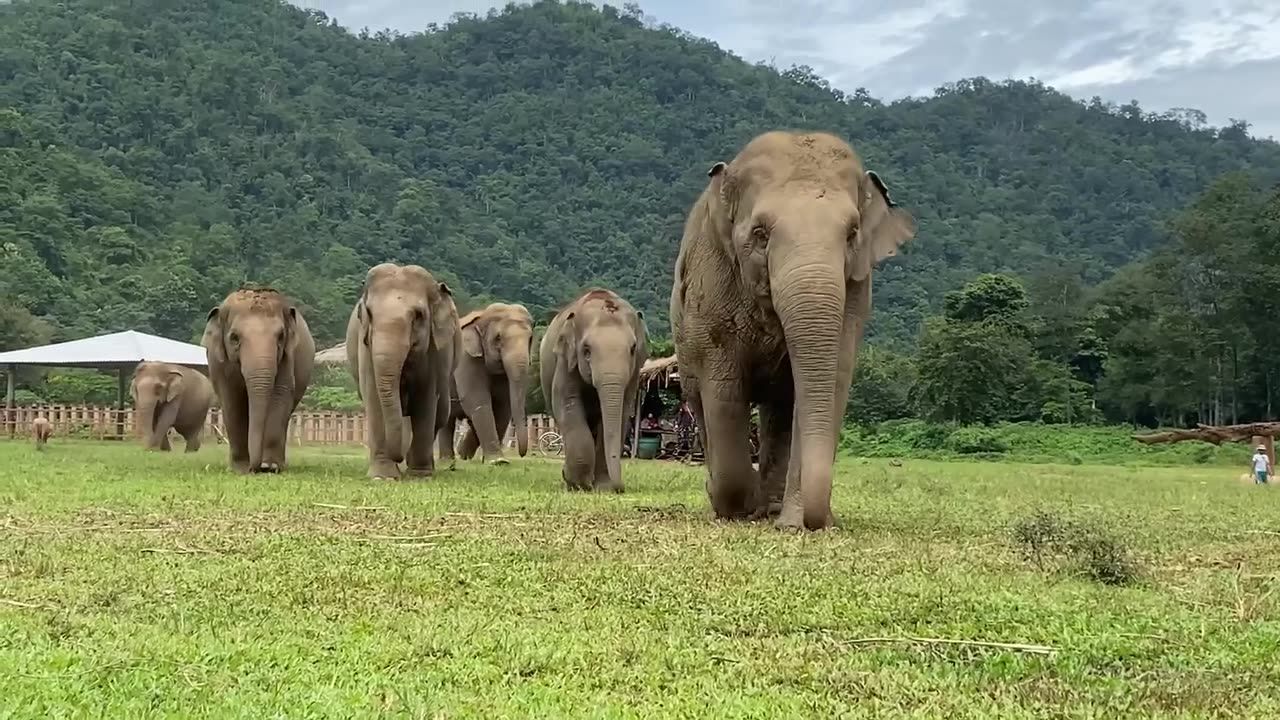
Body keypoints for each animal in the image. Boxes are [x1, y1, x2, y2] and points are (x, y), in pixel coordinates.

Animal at [204, 285, 317, 471]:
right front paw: (241, 468)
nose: (255, 468)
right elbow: (232, 399)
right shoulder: (219, 362)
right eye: (234, 337)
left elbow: (280, 394)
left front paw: (269, 467)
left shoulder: (287, 357)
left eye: (281, 336)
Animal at [345, 262, 460, 476]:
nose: (398, 457)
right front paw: (383, 476)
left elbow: (425, 397)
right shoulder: (365, 346)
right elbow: (373, 396)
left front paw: (419, 475)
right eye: (369, 314)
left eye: (418, 315)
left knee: (441, 414)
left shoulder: (434, 350)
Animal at [440, 298, 535, 461]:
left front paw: (476, 458)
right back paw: (448, 459)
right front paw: (498, 461)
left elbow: (502, 406)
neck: (482, 316)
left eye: (530, 339)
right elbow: (478, 400)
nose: (522, 454)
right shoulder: (466, 358)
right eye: (498, 338)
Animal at [537, 288, 645, 489]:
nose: (620, 488)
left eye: (633, 348)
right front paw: (578, 484)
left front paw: (603, 487)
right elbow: (567, 401)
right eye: (586, 350)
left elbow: (623, 409)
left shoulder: (634, 371)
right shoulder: (566, 361)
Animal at [675, 131, 916, 530]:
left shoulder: (855, 289)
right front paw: (738, 507)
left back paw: (771, 508)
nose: (818, 522)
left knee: (781, 410)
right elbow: (724, 386)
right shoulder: (712, 282)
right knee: (702, 403)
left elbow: (830, 381)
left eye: (851, 234)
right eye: (760, 234)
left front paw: (791, 524)